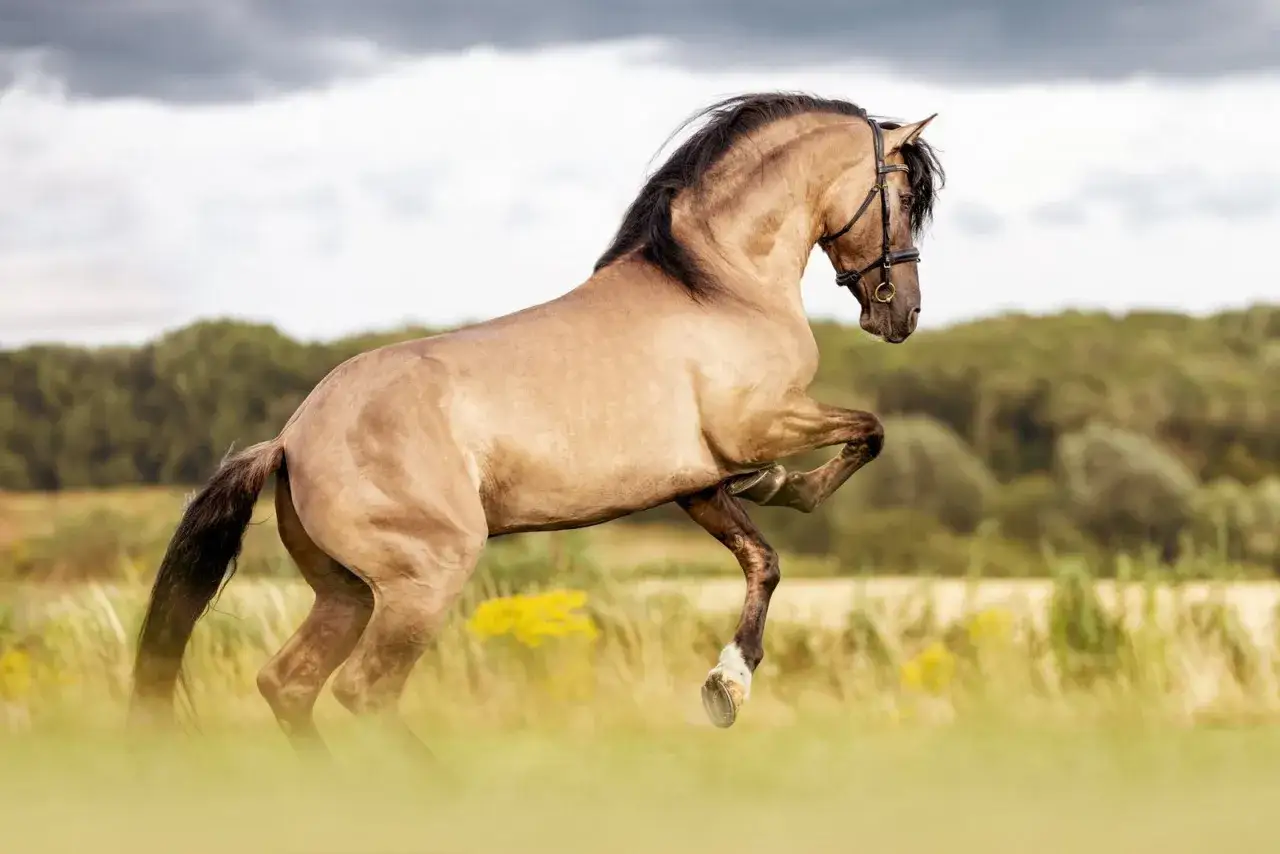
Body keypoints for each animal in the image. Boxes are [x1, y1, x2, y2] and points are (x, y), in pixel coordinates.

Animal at [128, 91, 945, 752]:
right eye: (905, 194)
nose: (900, 314)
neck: (720, 287)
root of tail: (293, 439)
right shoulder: (758, 426)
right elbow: (867, 431)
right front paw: (788, 488)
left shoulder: (696, 483)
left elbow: (764, 561)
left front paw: (727, 687)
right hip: (421, 583)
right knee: (363, 690)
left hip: (347, 591)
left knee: (289, 682)